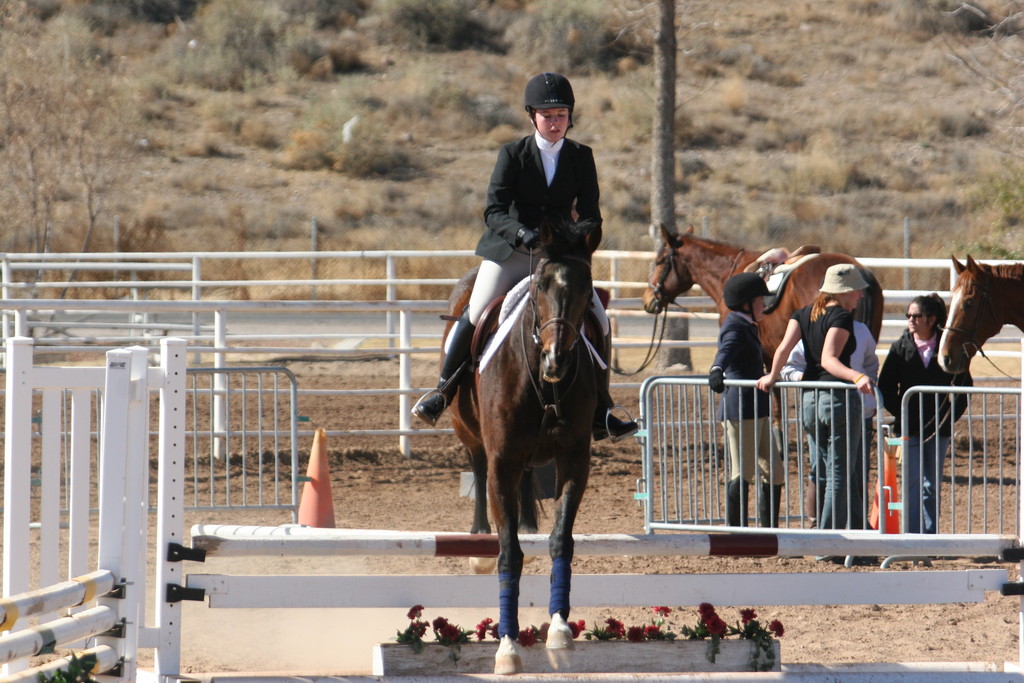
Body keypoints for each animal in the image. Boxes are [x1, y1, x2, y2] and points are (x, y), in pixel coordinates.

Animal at [442, 218, 598, 671]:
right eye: (540, 286)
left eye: (587, 287)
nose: (555, 361)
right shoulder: (501, 460)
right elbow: (508, 552)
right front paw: (508, 647)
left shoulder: (575, 458)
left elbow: (561, 538)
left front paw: (560, 628)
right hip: (468, 431)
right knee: (477, 467)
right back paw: (478, 537)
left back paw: (528, 520)